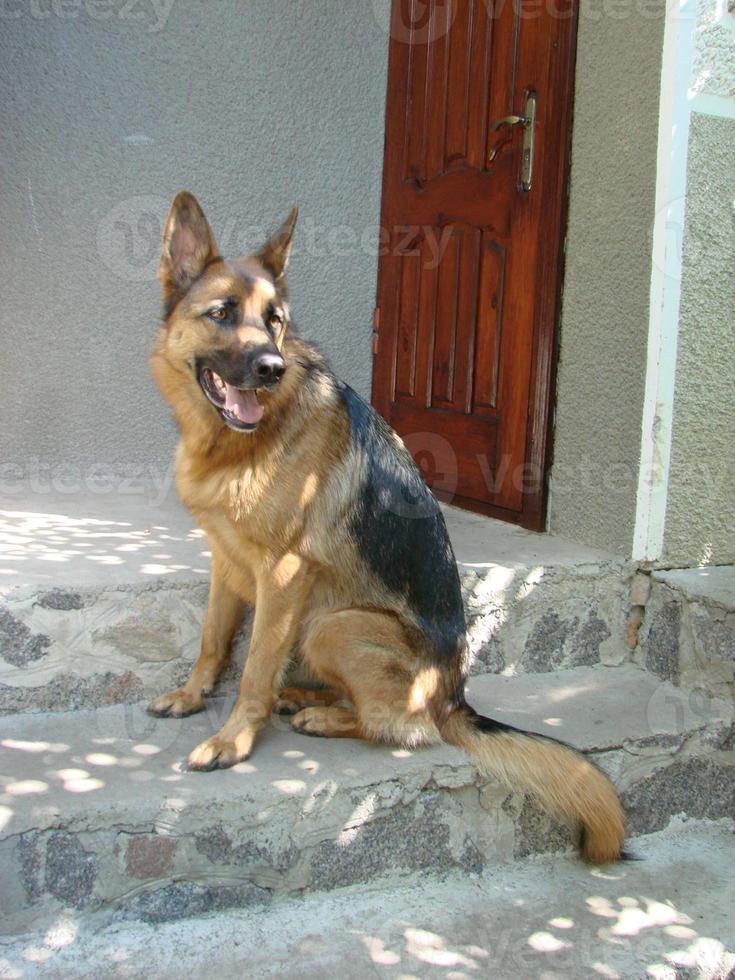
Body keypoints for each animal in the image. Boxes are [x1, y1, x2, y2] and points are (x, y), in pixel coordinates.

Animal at [150, 193, 628, 864]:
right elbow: (213, 641)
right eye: (221, 313)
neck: (236, 444)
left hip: (332, 624)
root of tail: (456, 697)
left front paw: (234, 739)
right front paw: (193, 696)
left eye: (275, 321)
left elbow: (255, 667)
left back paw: (321, 714)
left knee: (405, 726)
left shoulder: (282, 575)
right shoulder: (225, 560)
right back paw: (307, 697)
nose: (271, 368)